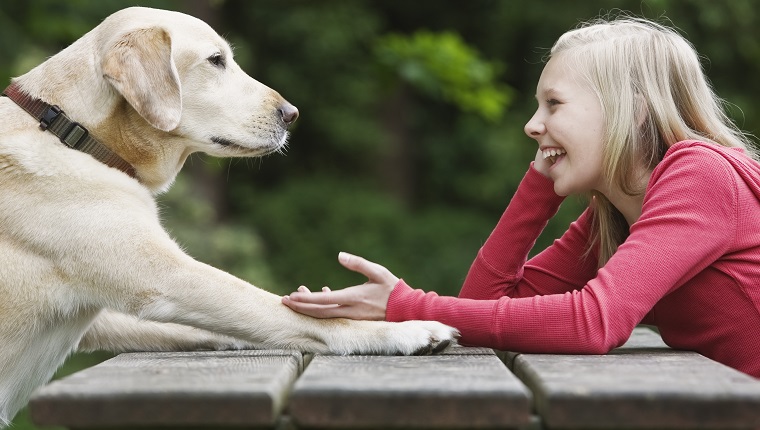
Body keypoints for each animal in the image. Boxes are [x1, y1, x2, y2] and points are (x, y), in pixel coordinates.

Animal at [0, 7, 458, 426]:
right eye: (216, 60)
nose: (292, 114)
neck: (70, 129)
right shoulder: (169, 278)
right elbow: (285, 310)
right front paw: (405, 330)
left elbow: (220, 325)